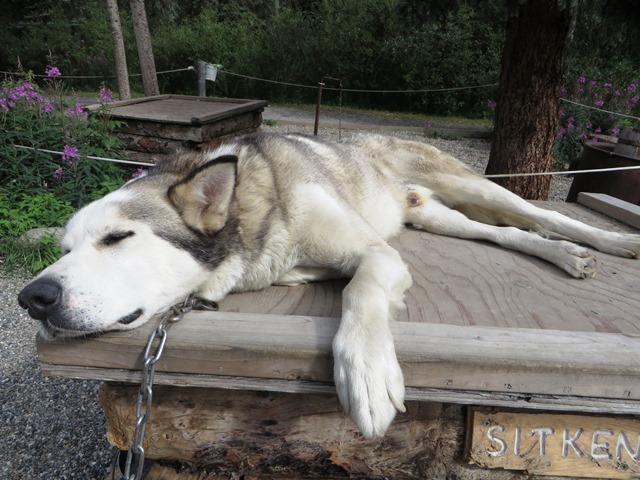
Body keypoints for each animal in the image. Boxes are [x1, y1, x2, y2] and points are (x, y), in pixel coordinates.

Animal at [17, 131, 640, 438]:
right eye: (64, 250)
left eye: (118, 238)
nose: (32, 298)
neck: (257, 208)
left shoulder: (376, 255)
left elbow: (357, 293)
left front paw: (366, 375)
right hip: (435, 218)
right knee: (504, 234)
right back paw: (563, 256)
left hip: (472, 186)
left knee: (538, 214)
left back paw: (604, 243)